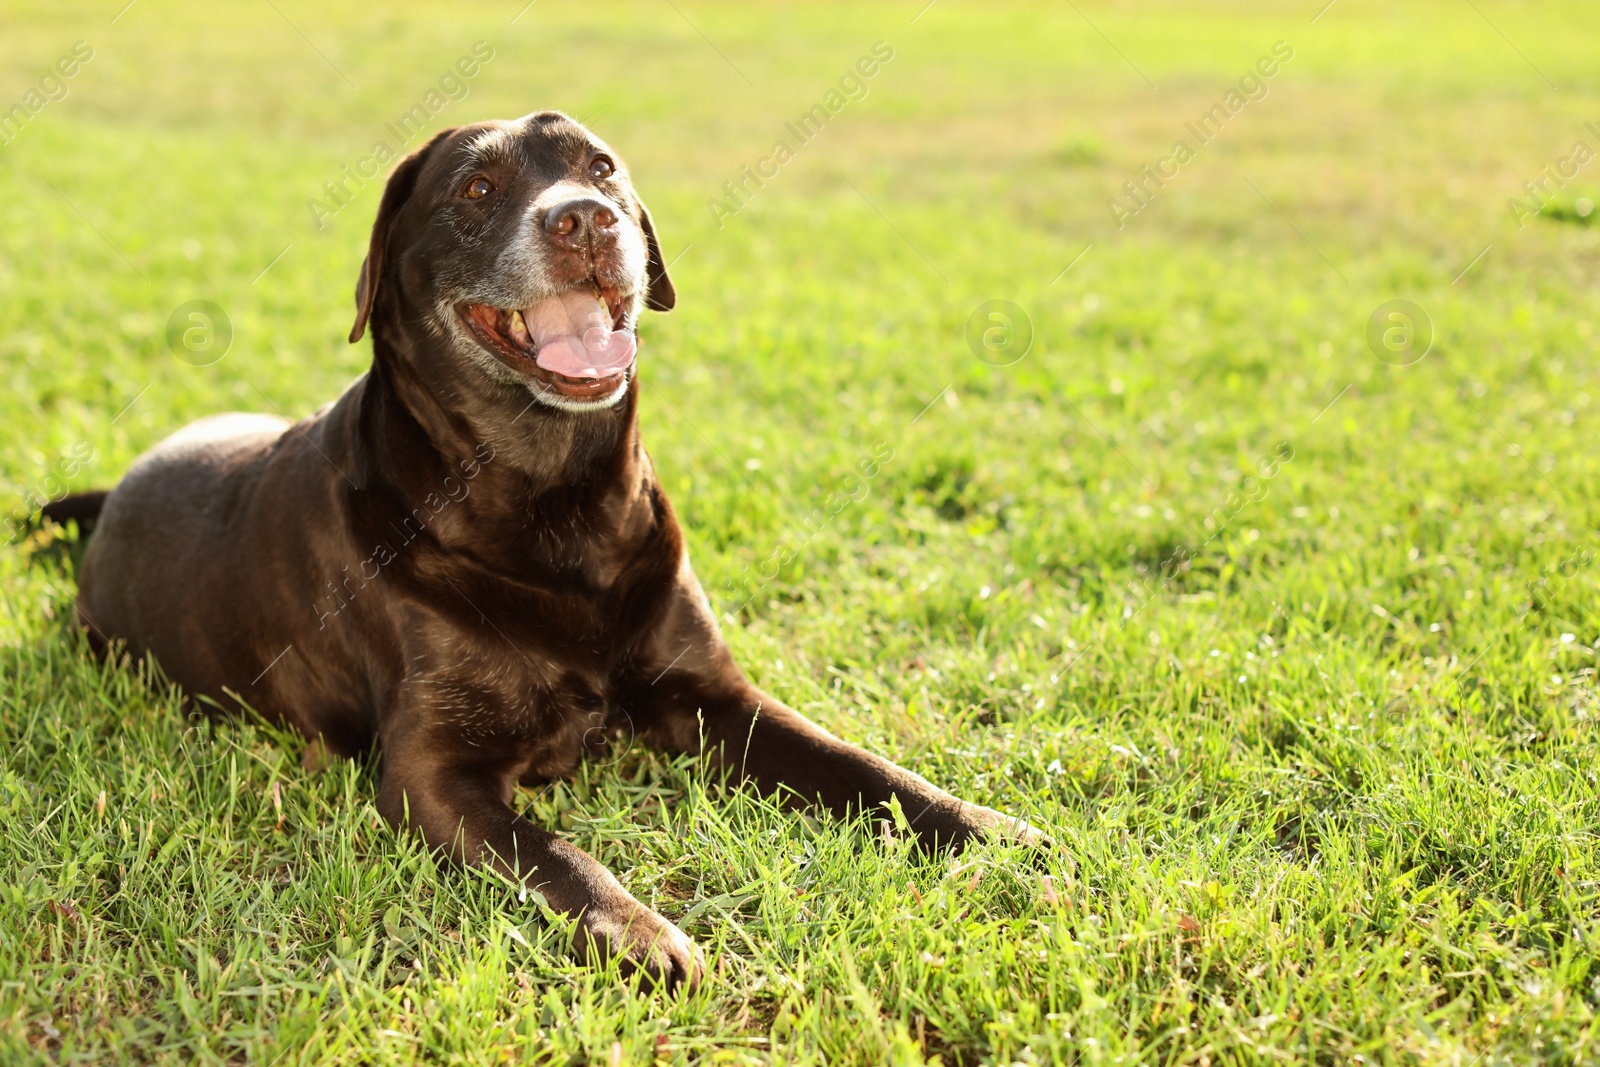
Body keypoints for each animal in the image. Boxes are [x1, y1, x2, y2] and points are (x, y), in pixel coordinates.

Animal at [46, 112, 1036, 991]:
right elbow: (553, 852)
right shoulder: (431, 773)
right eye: (476, 189)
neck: (557, 504)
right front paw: (641, 933)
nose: (586, 219)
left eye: (601, 167)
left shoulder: (716, 696)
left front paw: (991, 828)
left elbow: (865, 768)